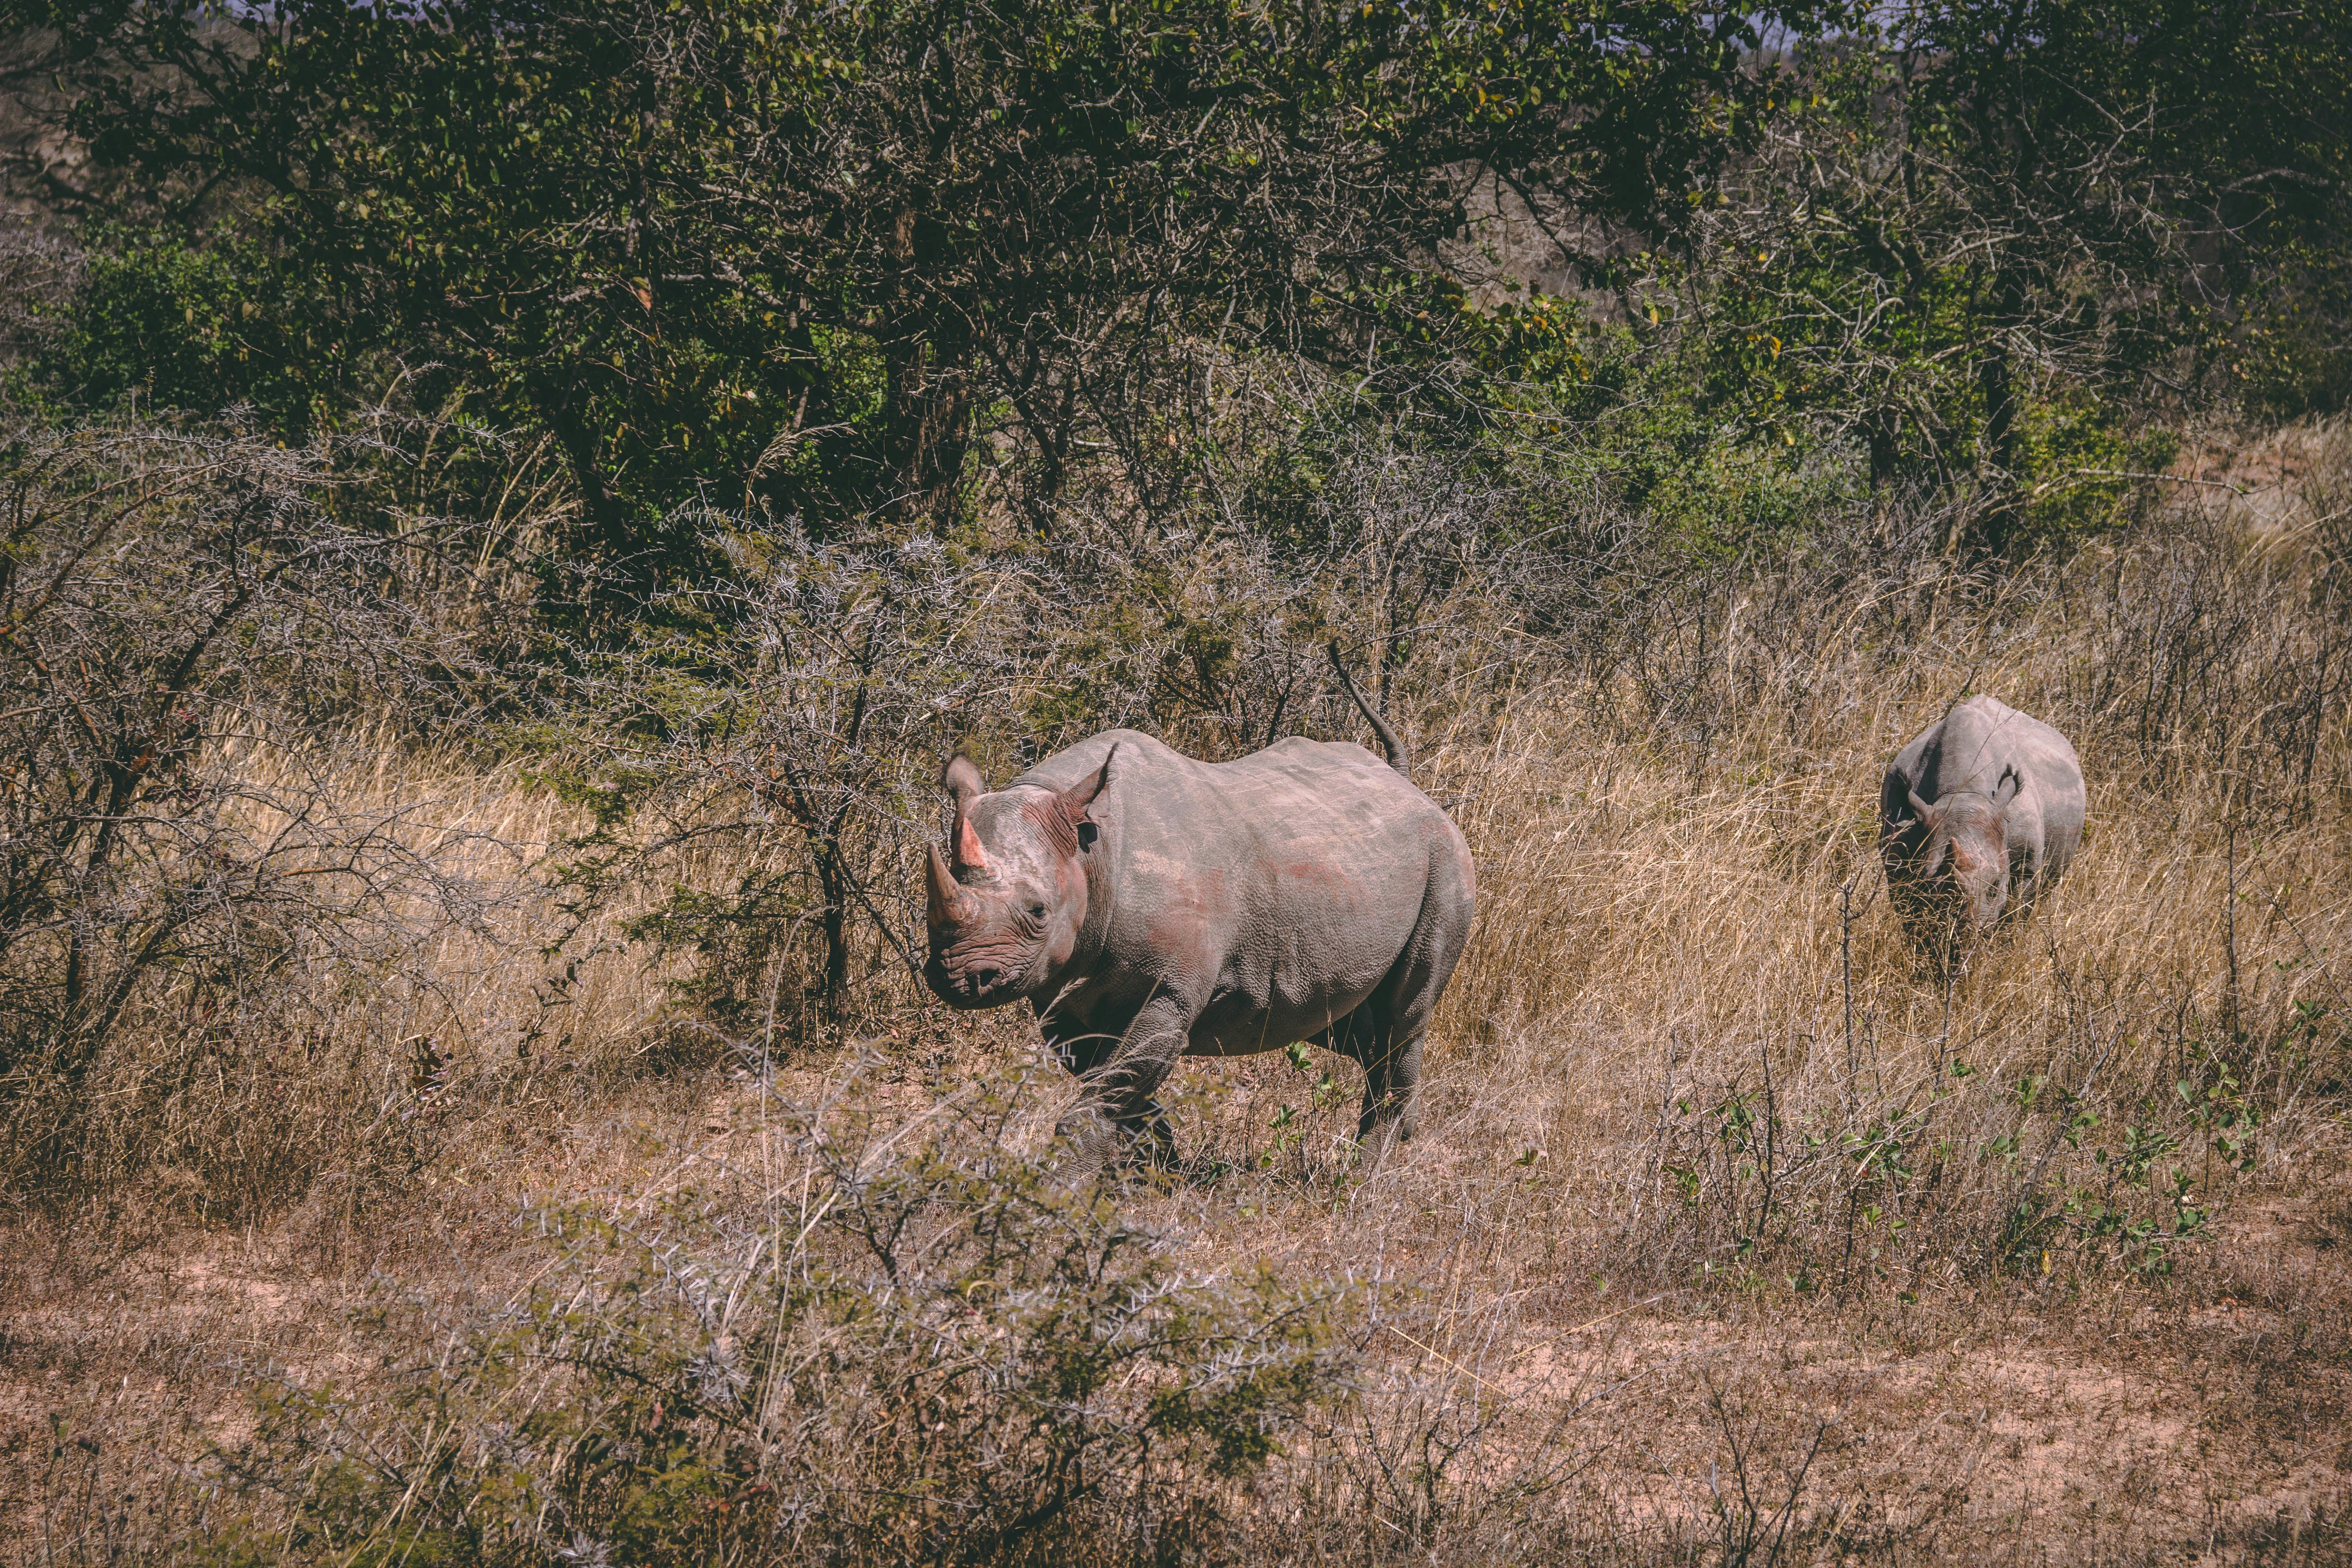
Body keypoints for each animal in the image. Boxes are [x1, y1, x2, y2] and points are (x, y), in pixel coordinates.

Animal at [922, 648, 1476, 1174]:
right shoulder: (1058, 989)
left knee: (1404, 1014)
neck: (1089, 852)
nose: (960, 979)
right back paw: (1398, 1135)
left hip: (1446, 860)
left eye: (1039, 911)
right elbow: (1118, 1093)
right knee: (1349, 1024)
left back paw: (1361, 1181)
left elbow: (1110, 1092)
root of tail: (1411, 788)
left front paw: (1072, 1184)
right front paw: (1163, 1166)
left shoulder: (1167, 989)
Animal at [1881, 694, 2085, 940]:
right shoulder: (1898, 854)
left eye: (1996, 885)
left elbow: (2014, 915)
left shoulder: (2026, 864)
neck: (1963, 795)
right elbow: (1913, 918)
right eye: (1928, 882)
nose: (1964, 933)